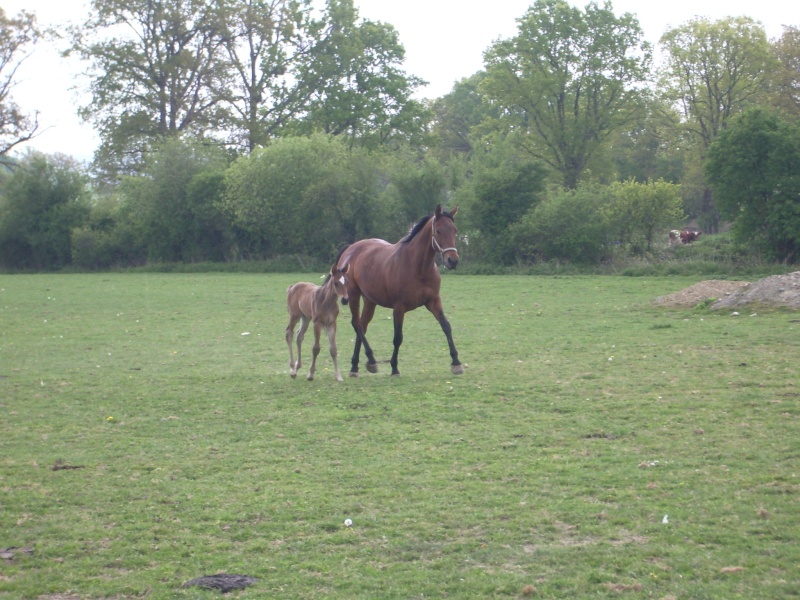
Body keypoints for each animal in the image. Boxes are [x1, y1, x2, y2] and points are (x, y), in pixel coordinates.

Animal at [336, 204, 462, 378]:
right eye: (438, 231)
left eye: (454, 230)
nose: (453, 260)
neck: (418, 268)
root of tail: (350, 249)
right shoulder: (399, 307)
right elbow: (397, 337)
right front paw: (394, 368)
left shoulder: (433, 302)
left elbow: (446, 326)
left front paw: (456, 363)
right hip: (354, 295)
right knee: (357, 324)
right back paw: (371, 361)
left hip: (370, 301)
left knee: (362, 325)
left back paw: (356, 366)